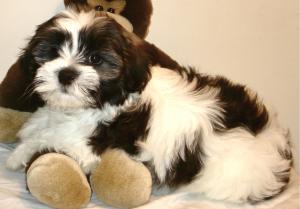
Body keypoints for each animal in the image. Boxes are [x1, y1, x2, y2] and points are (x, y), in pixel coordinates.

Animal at [6, 9, 292, 204]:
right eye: (53, 52)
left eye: (95, 59)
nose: (66, 74)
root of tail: (278, 146)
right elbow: (41, 125)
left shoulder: (88, 145)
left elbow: (52, 138)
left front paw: (18, 154)